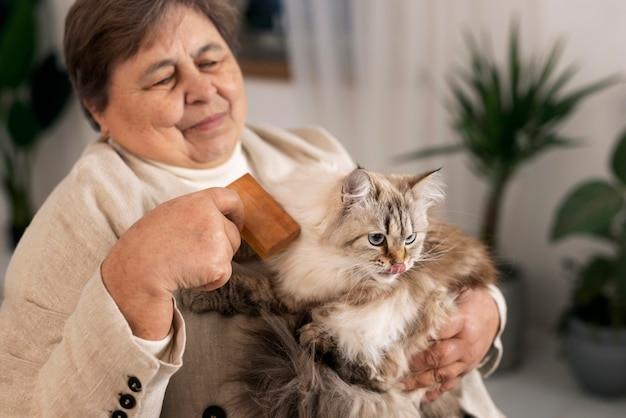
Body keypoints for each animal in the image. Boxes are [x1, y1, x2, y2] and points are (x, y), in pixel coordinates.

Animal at [180, 165, 498, 416]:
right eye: (376, 239)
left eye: (410, 239)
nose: (400, 266)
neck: (319, 241)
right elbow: (240, 239)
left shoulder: (296, 296)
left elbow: (248, 288)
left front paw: (198, 293)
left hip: (407, 313)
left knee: (379, 375)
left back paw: (316, 339)